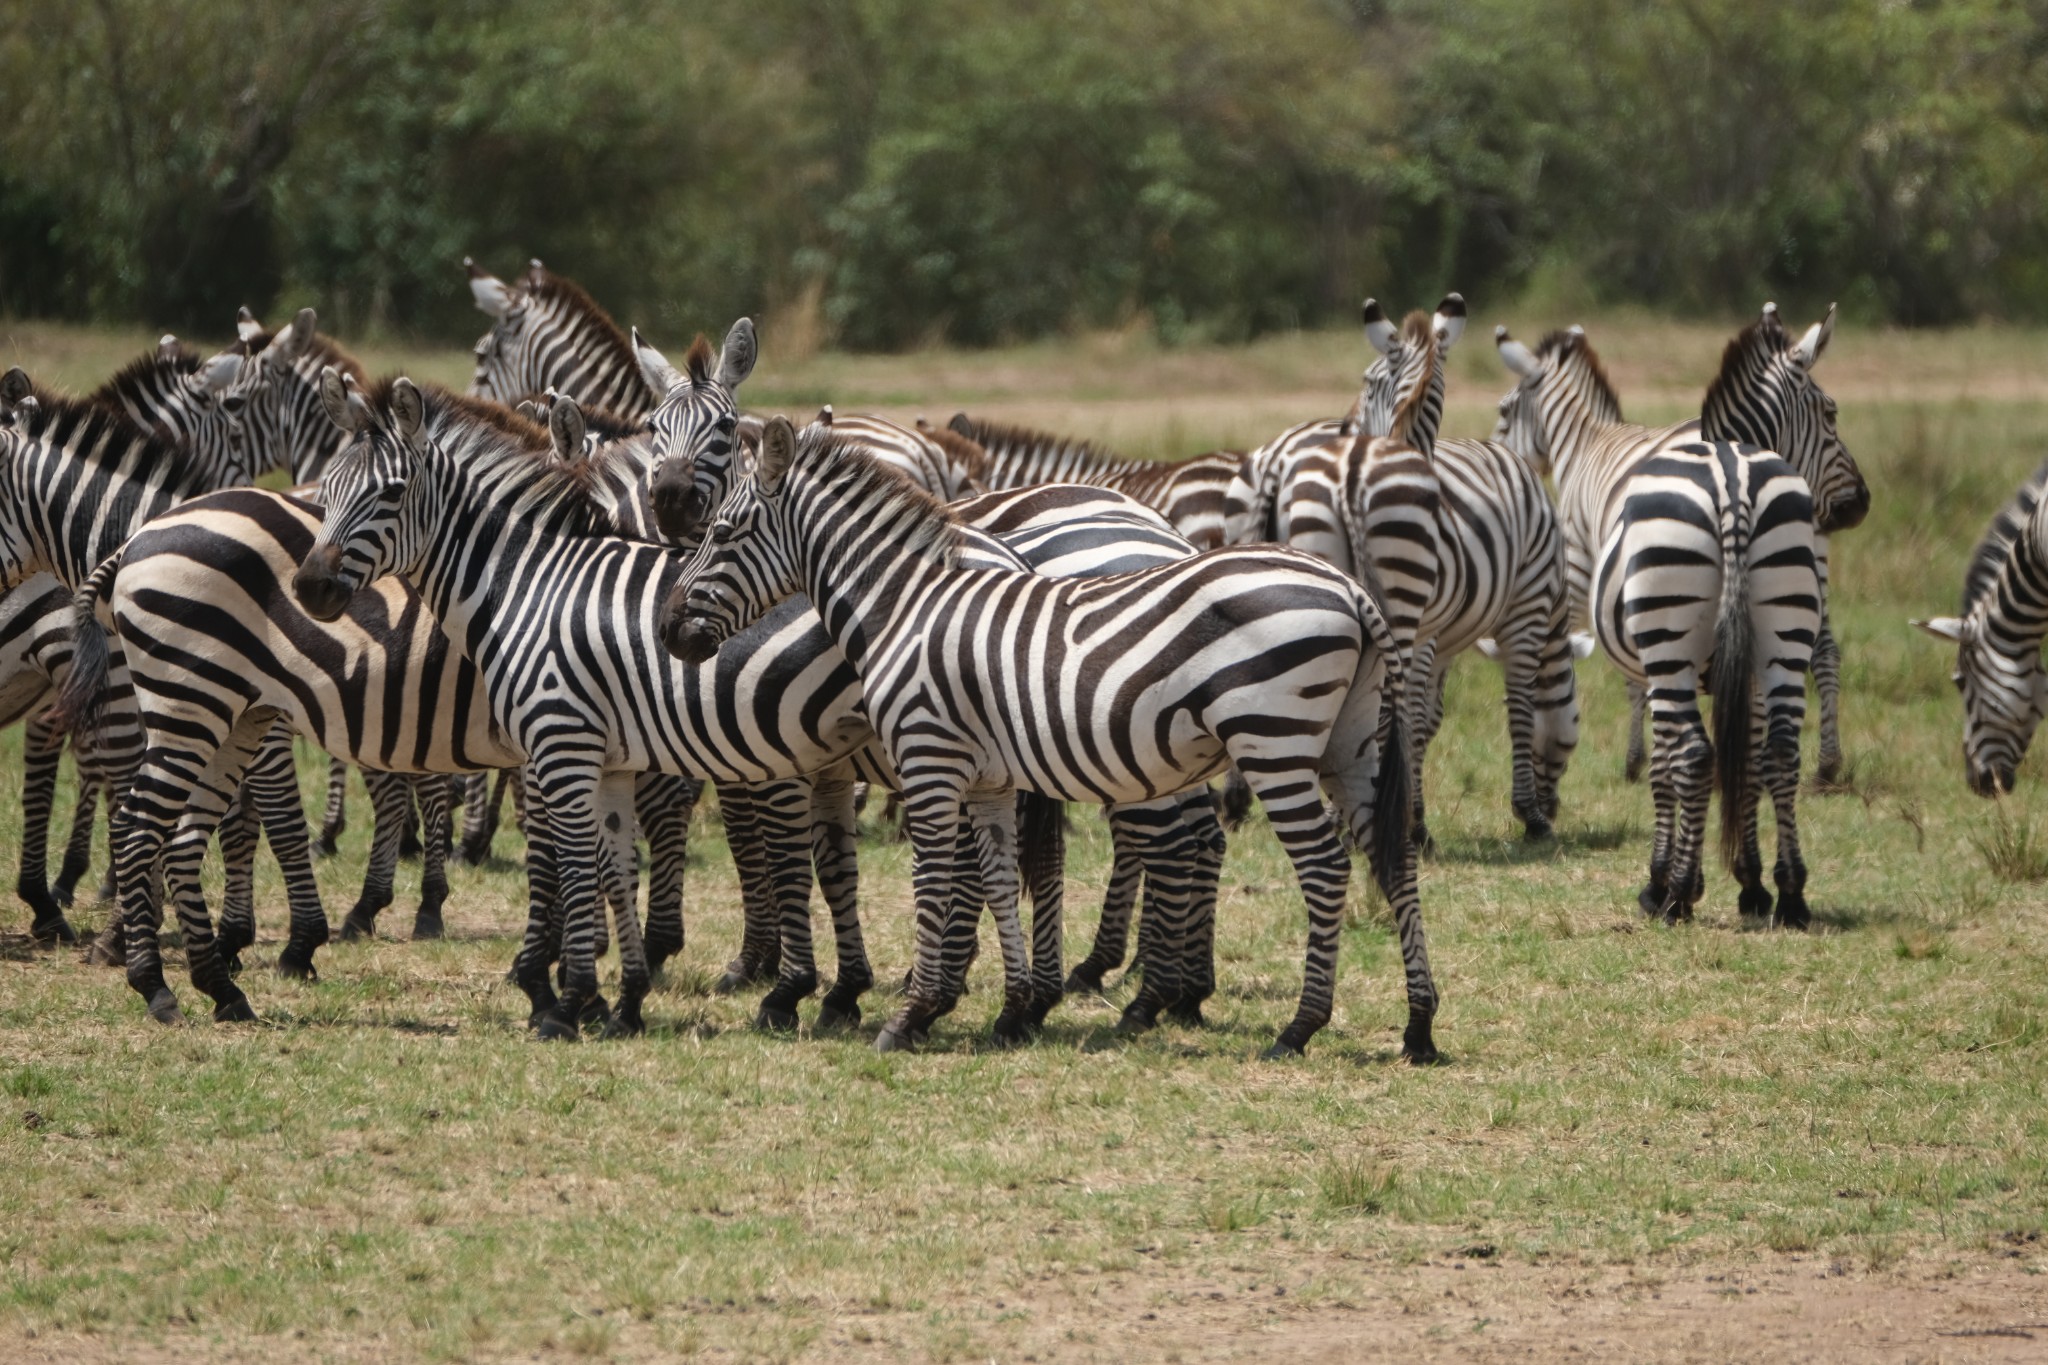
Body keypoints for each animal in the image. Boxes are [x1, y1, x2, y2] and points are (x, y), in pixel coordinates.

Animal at [663, 411, 1433, 1064]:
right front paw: (1012, 1009)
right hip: (1350, 747)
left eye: (722, 533)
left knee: (1324, 867)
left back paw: (1298, 1027)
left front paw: (909, 1013)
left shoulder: (928, 758)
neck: (904, 604)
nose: (671, 629)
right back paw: (1419, 1027)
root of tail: (1349, 589)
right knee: (1393, 859)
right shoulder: (990, 776)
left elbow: (932, 880)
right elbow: (1003, 879)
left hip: (1273, 743)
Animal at [1490, 331, 1826, 929]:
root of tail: (1730, 477)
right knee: (1782, 752)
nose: (1500, 454)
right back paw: (1791, 895)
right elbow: (1746, 761)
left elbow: (1665, 766)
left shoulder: (1647, 662)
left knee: (1694, 754)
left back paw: (1675, 896)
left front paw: (1665, 879)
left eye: (1505, 412)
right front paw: (1750, 882)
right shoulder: (1740, 677)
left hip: (1670, 642)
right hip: (1784, 628)